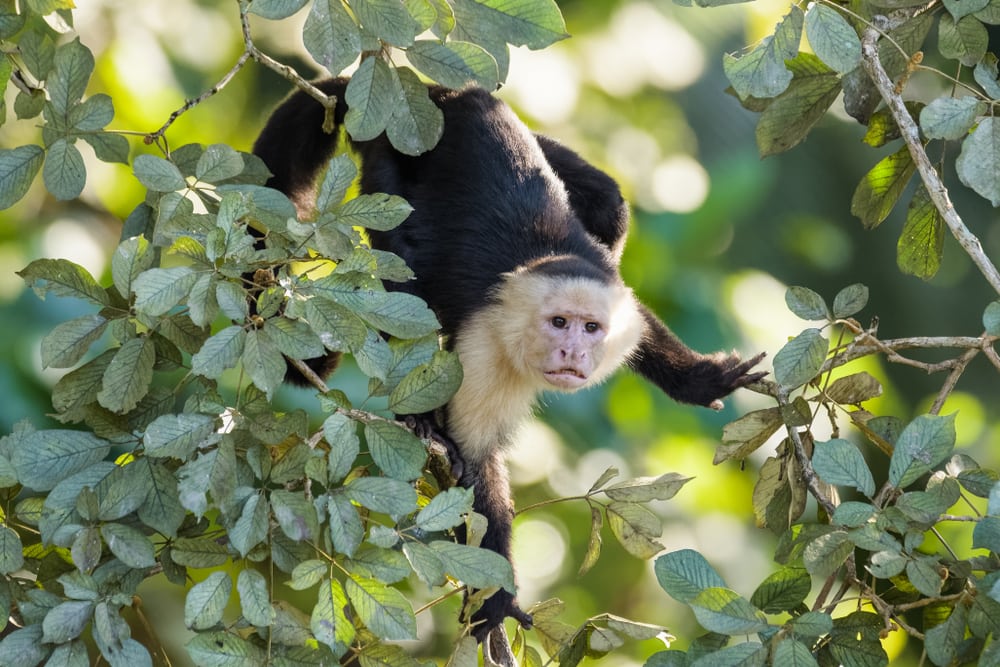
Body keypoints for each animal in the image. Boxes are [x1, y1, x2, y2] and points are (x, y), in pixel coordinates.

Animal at [251, 77, 765, 642]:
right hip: (391, 145)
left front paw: (697, 379)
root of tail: (431, 90)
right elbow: (477, 468)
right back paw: (421, 417)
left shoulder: (615, 301)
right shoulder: (484, 345)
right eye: (558, 324)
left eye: (591, 329)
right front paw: (496, 598)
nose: (574, 353)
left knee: (608, 202)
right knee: (403, 262)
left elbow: (644, 329)